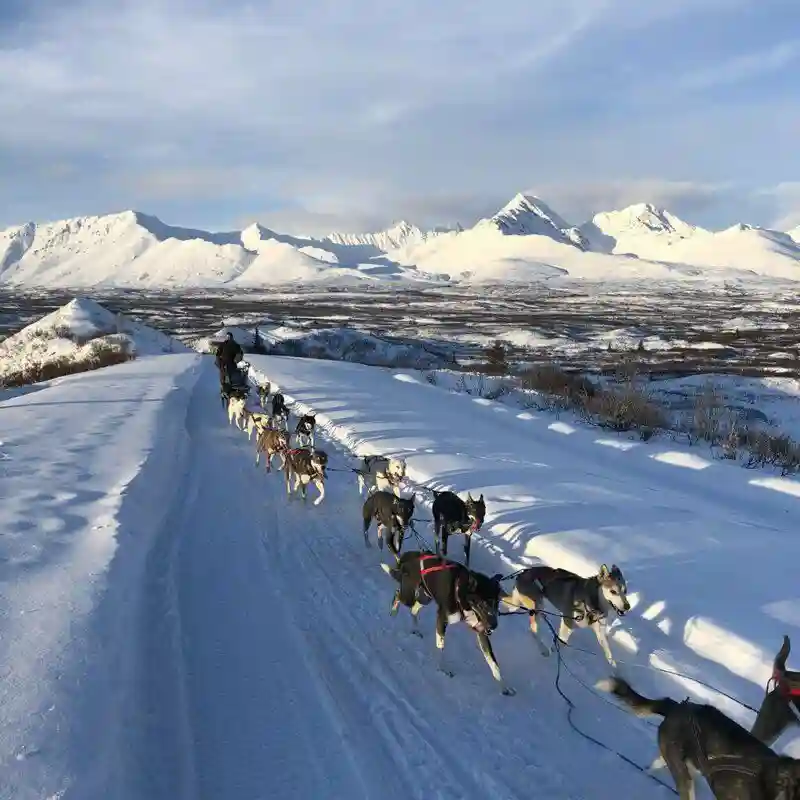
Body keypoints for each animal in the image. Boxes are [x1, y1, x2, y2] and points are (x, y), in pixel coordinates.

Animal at [382, 552, 512, 692]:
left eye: (496, 603)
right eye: (482, 603)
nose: (494, 626)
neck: (460, 592)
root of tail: (406, 557)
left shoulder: (481, 631)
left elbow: (494, 663)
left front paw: (505, 687)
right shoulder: (442, 619)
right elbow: (441, 646)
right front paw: (442, 669)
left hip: (424, 598)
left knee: (413, 610)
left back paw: (415, 629)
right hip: (409, 596)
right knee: (398, 596)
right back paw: (393, 613)